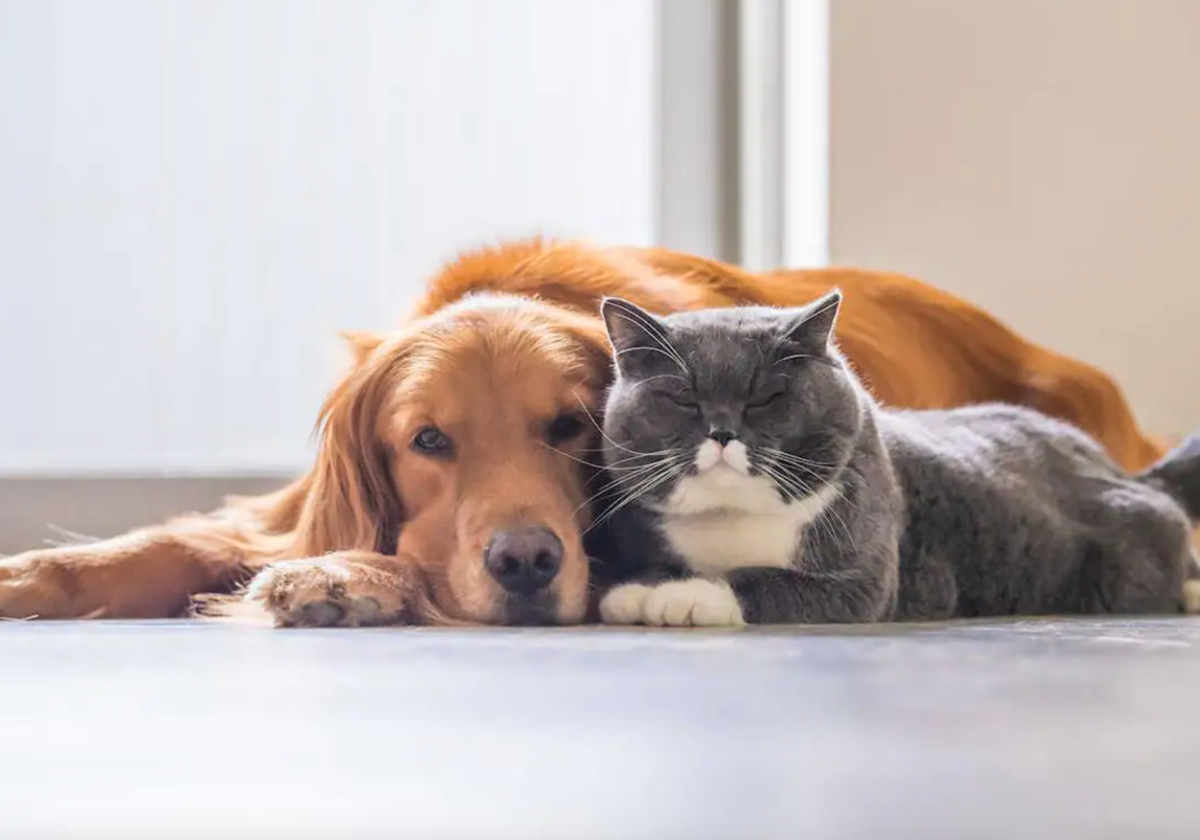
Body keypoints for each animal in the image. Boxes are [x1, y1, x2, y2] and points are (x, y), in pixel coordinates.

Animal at [597, 291, 1200, 628]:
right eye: (682, 399)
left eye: (766, 396)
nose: (723, 431)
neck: (731, 520)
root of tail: (1119, 471)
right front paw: (641, 589)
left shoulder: (864, 579)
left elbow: (758, 580)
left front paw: (674, 597)